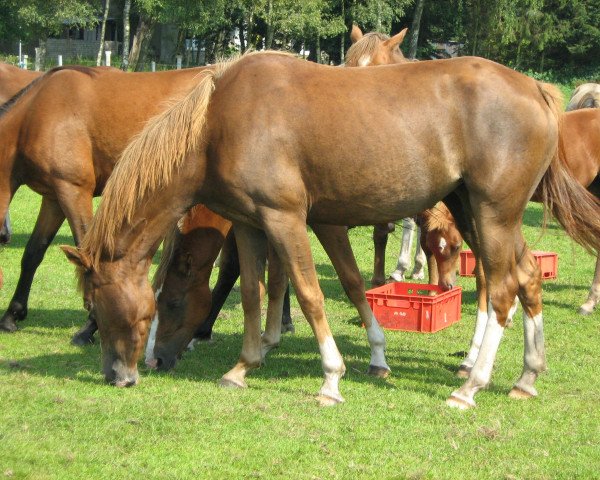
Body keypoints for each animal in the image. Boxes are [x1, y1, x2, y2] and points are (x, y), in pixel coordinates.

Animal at [0, 64, 212, 342]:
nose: (5, 235)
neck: (34, 115)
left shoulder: (74, 190)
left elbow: (87, 249)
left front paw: (91, 324)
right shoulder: (53, 198)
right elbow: (33, 252)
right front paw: (12, 315)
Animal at [62, 51, 600, 408]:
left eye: (169, 303)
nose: (123, 374)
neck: (217, 124)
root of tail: (535, 91)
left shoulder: (285, 218)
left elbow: (307, 293)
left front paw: (331, 378)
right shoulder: (251, 225)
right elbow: (259, 293)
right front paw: (243, 366)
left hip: (492, 214)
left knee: (503, 289)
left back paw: (470, 386)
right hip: (474, 209)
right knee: (527, 277)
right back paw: (526, 377)